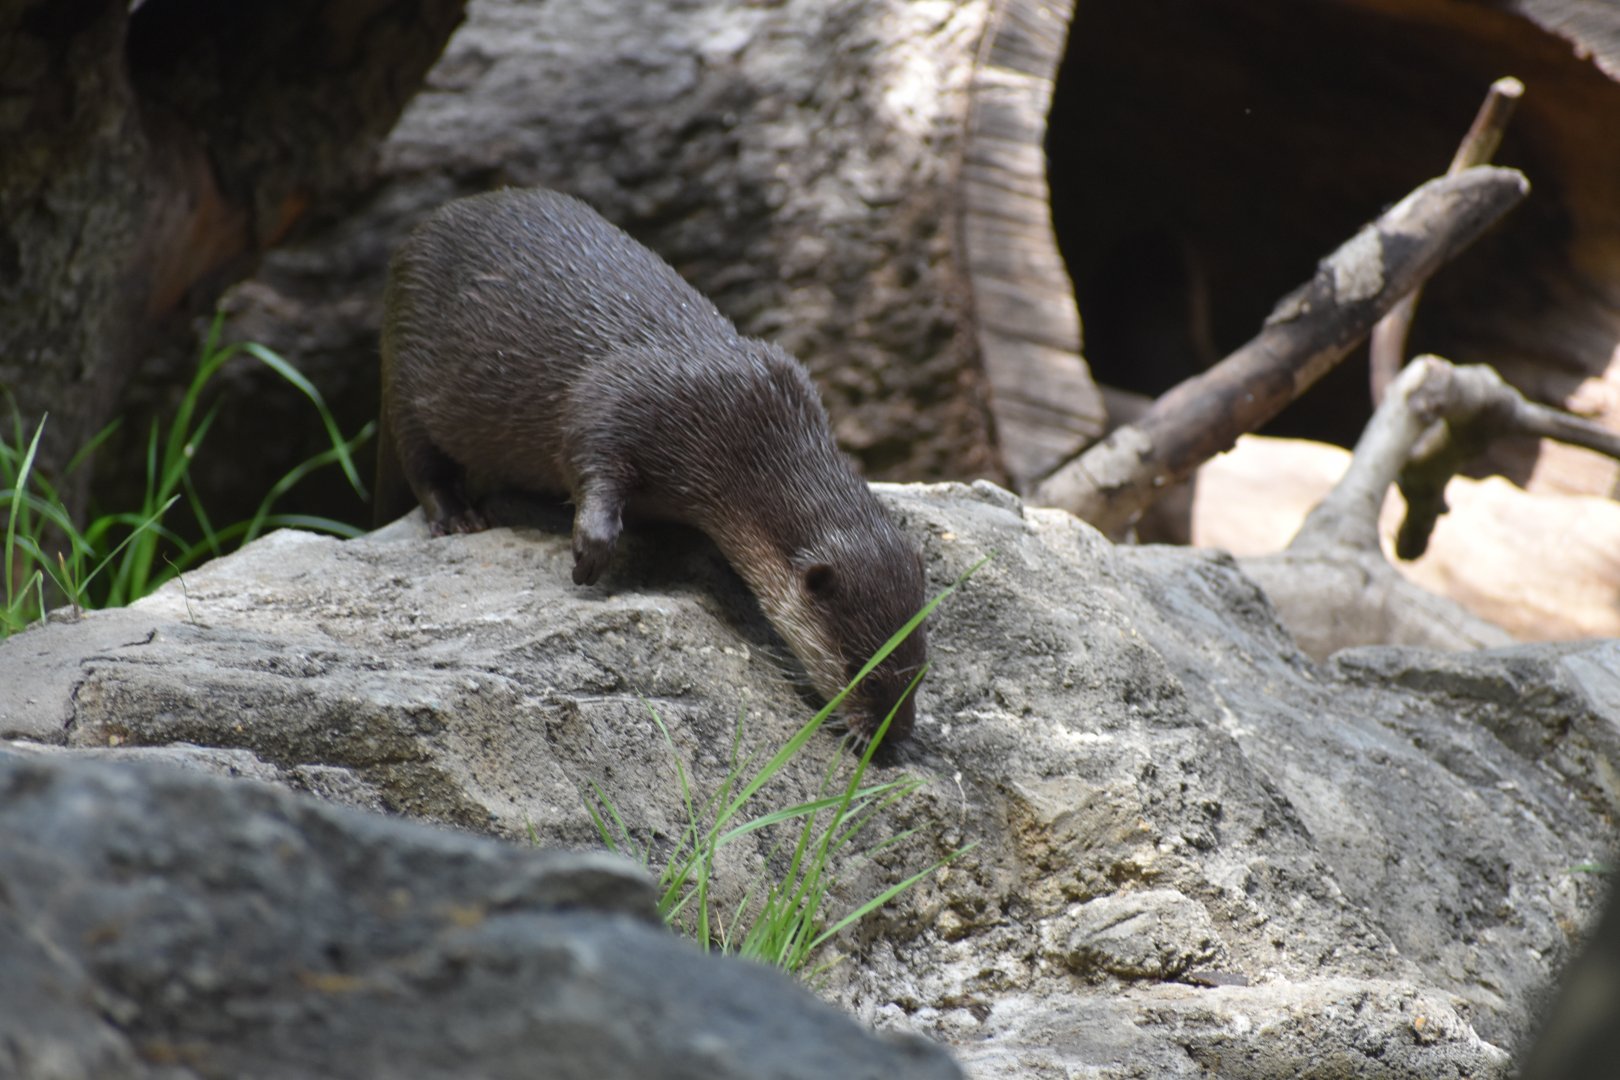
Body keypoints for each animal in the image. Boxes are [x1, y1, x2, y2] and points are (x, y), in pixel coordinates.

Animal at [375, 188, 927, 748]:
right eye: (864, 672)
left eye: (919, 673)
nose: (895, 736)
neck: (747, 422)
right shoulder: (617, 401)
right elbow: (589, 459)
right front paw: (589, 555)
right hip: (406, 369)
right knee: (420, 459)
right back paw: (459, 517)